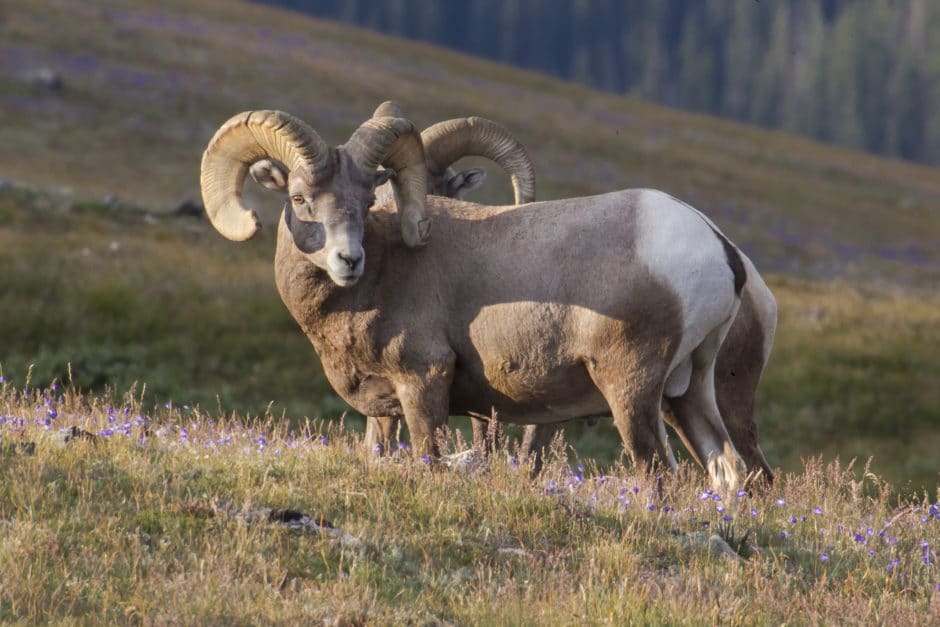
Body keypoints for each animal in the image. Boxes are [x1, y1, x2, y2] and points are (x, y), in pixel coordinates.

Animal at [198, 109, 748, 490]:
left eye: (366, 199)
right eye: (299, 199)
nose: (347, 260)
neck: (382, 273)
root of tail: (718, 247)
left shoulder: (424, 382)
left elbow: (430, 458)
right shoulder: (384, 408)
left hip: (631, 391)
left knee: (657, 474)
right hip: (686, 392)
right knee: (726, 469)